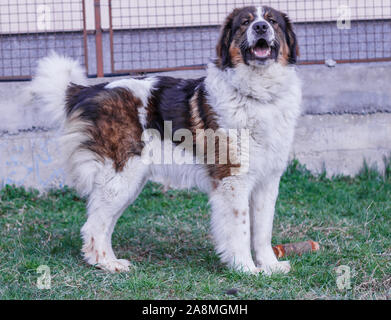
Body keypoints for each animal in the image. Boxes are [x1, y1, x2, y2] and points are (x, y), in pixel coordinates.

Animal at [30, 5, 304, 276]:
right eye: (245, 23)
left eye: (272, 21)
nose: (260, 27)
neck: (258, 96)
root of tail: (90, 90)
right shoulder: (233, 180)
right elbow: (241, 229)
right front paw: (245, 268)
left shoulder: (267, 181)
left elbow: (262, 230)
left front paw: (270, 265)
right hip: (121, 177)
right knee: (94, 226)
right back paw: (106, 264)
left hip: (128, 182)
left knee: (103, 222)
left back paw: (110, 260)